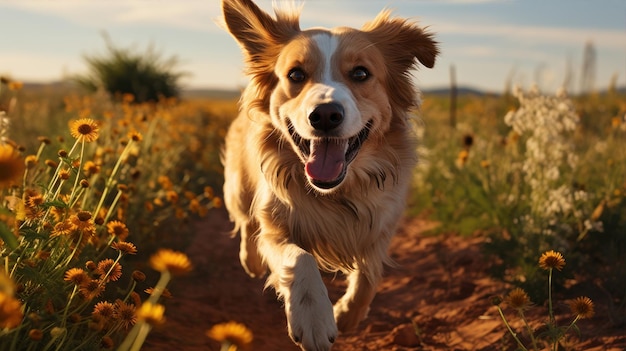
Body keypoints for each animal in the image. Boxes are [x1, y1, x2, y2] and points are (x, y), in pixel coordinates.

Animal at [222, 1, 436, 350]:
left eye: (361, 73)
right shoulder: (276, 225)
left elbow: (370, 273)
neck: (336, 192)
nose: (324, 114)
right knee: (245, 221)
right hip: (238, 187)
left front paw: (348, 313)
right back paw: (250, 260)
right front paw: (314, 318)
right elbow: (299, 258)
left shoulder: (382, 222)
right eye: (295, 74)